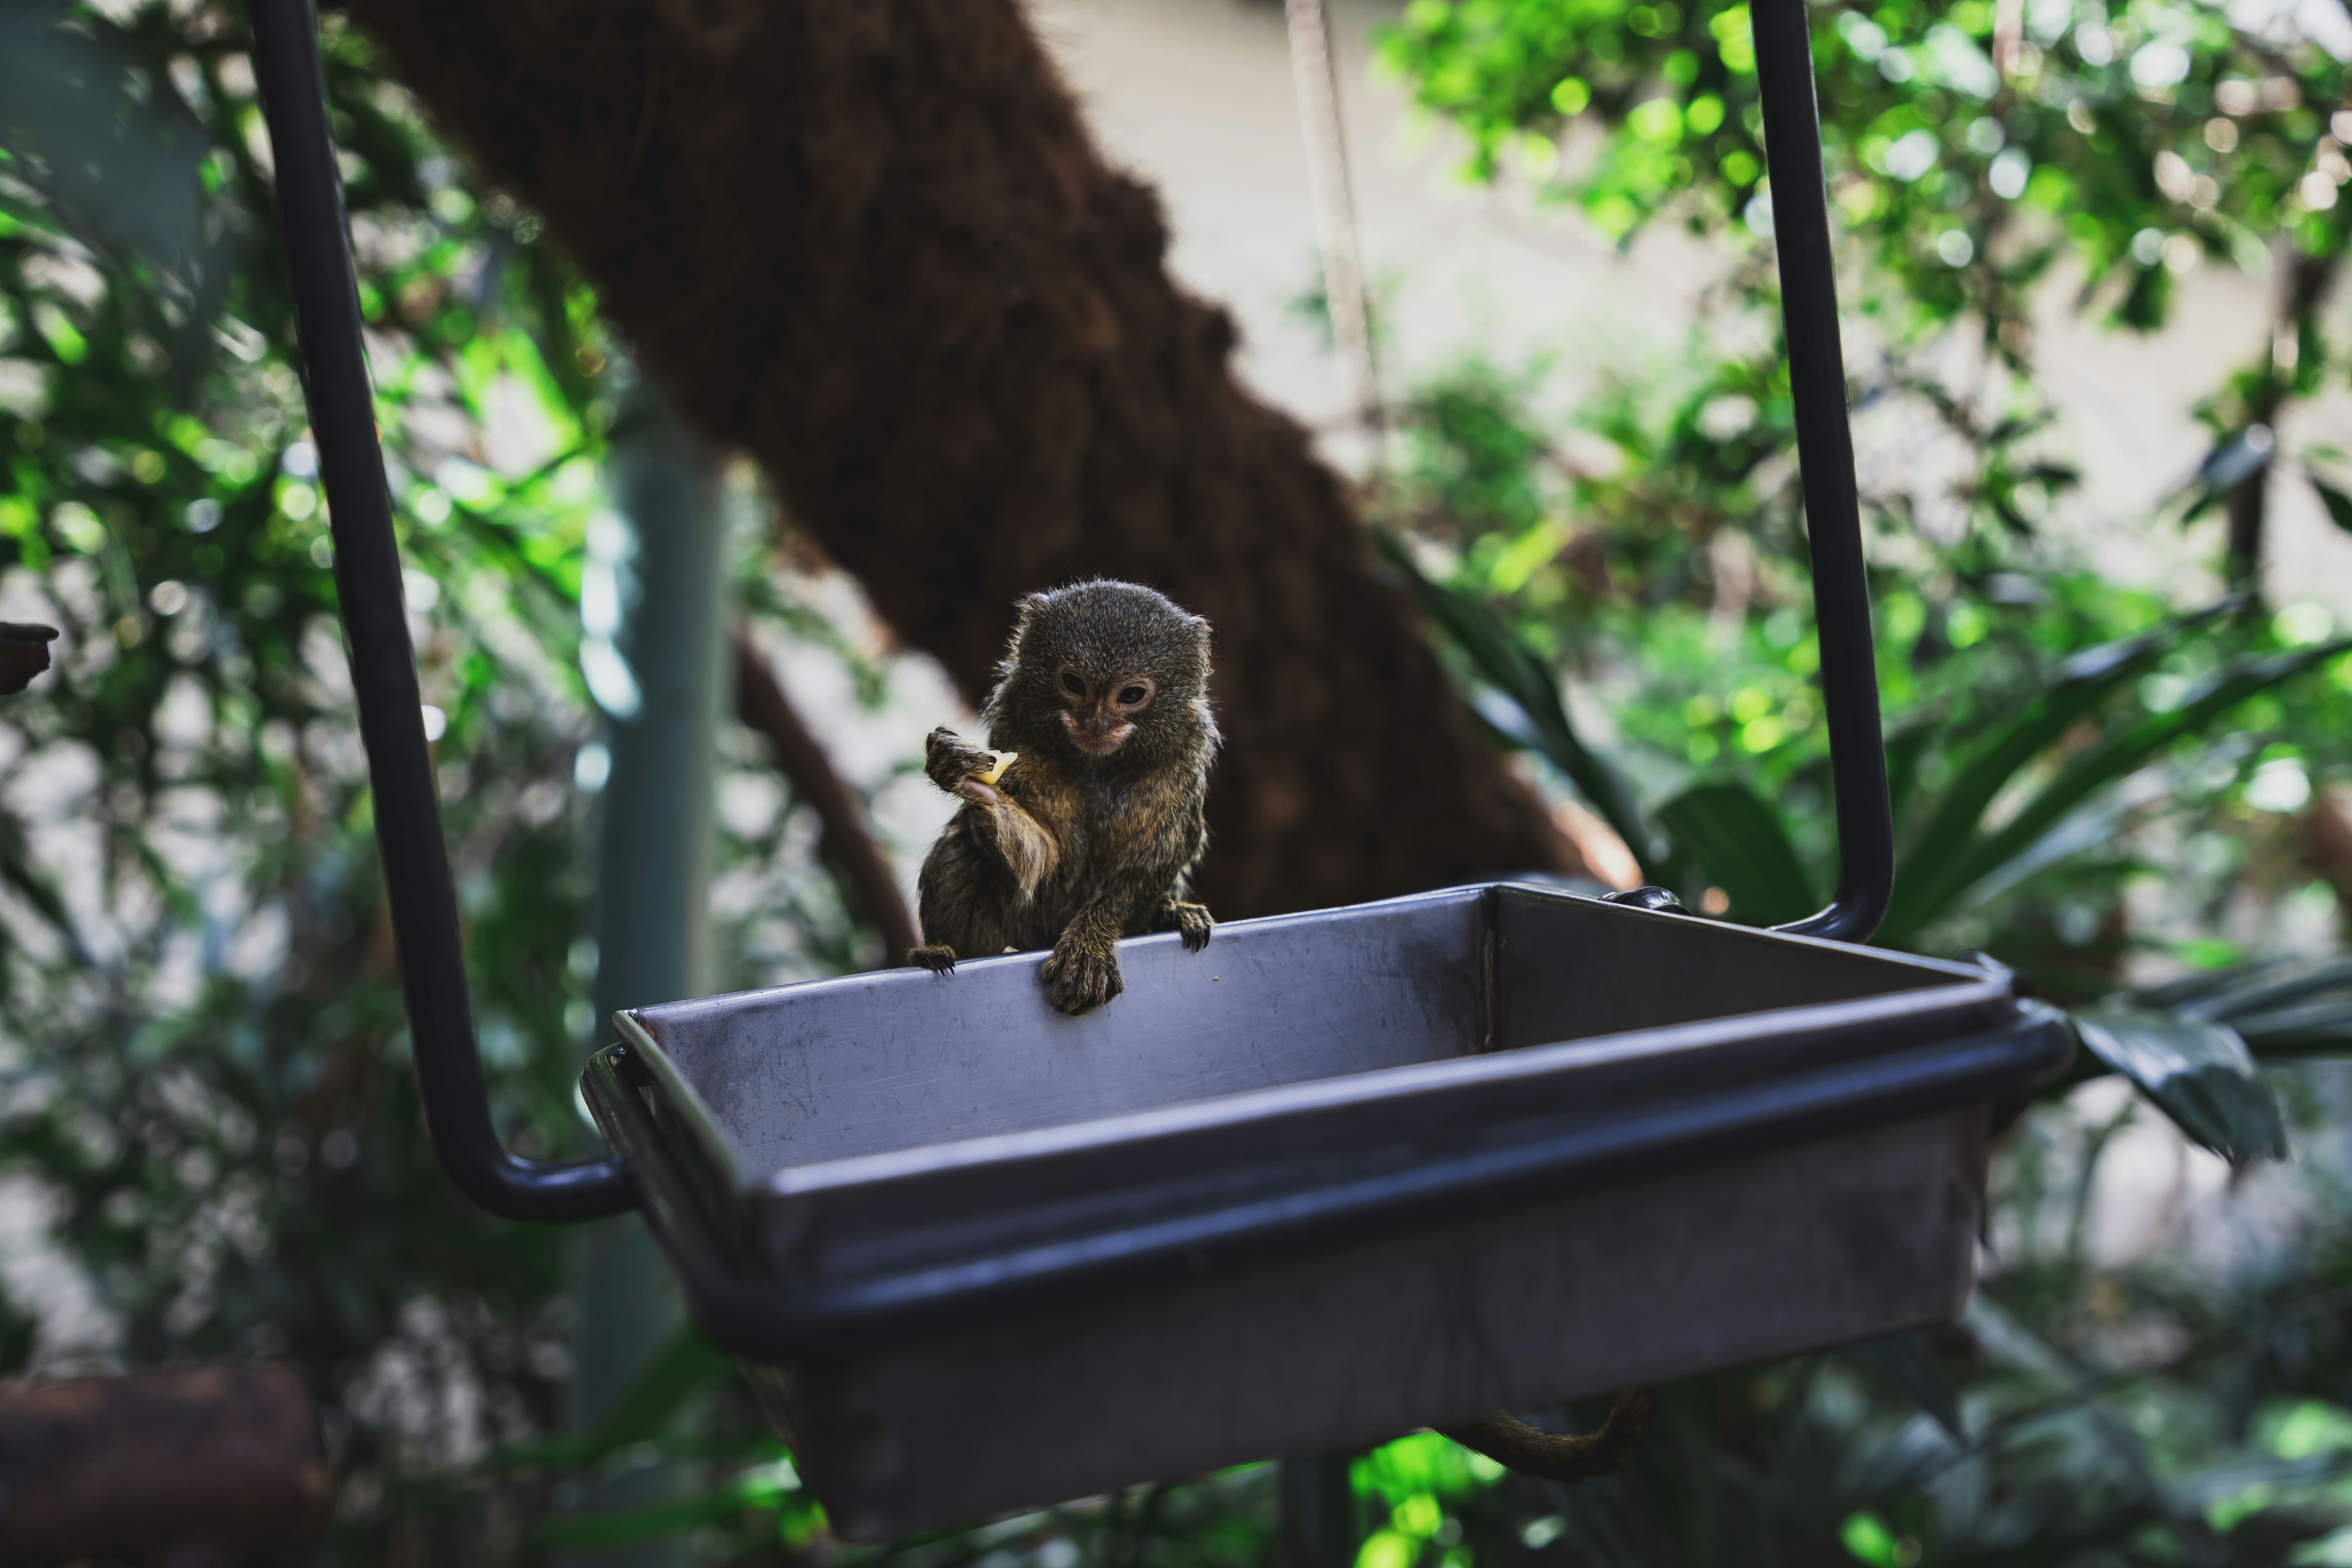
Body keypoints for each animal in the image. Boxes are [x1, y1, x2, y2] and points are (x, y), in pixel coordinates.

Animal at [908, 580, 1218, 1016]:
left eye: (1132, 694)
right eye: (1074, 684)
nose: (1096, 723)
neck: (1099, 769)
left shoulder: (1180, 768)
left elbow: (1153, 863)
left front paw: (1090, 945)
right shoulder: (1017, 736)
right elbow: (1041, 857)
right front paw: (968, 779)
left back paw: (1174, 913)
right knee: (961, 847)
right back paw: (935, 950)